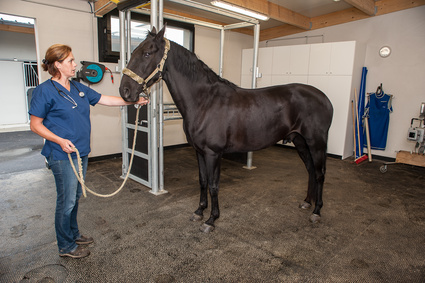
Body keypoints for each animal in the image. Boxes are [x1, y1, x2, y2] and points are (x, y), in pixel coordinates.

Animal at [118, 27, 332, 234]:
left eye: (147, 53)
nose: (125, 91)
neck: (204, 101)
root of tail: (324, 98)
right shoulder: (199, 151)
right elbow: (202, 181)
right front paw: (199, 211)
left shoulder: (213, 153)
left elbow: (214, 185)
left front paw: (211, 220)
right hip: (300, 141)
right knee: (310, 170)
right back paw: (307, 202)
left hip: (316, 143)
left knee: (320, 173)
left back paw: (317, 211)